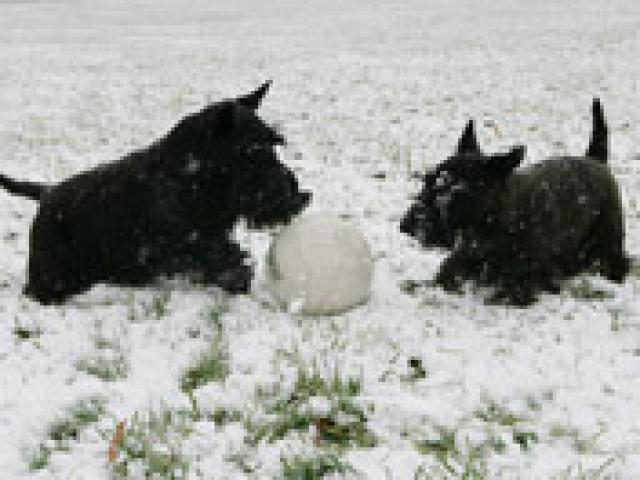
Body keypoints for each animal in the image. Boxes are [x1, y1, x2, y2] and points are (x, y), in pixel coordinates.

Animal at [0, 80, 310, 302]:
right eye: (251, 151)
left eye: (275, 142)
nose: (298, 195)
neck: (189, 176)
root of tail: (47, 193)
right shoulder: (177, 244)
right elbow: (217, 257)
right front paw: (238, 276)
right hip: (53, 274)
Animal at [400, 99, 632, 306]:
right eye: (427, 179)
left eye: (456, 190)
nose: (407, 224)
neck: (493, 220)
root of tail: (595, 159)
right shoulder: (462, 259)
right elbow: (442, 277)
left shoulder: (523, 279)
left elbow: (504, 294)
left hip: (608, 240)